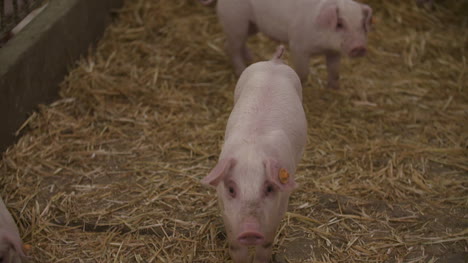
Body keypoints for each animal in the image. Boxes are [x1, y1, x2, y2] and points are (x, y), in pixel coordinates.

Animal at [198, 0, 372, 89]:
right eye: (340, 24)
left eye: (362, 24)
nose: (359, 47)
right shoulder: (298, 46)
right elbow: (303, 71)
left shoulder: (334, 52)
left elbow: (334, 71)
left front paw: (334, 89)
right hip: (235, 21)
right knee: (231, 47)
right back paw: (241, 69)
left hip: (252, 26)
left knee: (240, 43)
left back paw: (251, 58)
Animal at [201, 46, 308, 263]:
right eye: (231, 189)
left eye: (269, 188)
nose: (250, 231)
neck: (252, 151)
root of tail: (274, 62)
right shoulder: (224, 207)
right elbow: (235, 247)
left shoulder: (281, 204)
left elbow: (266, 243)